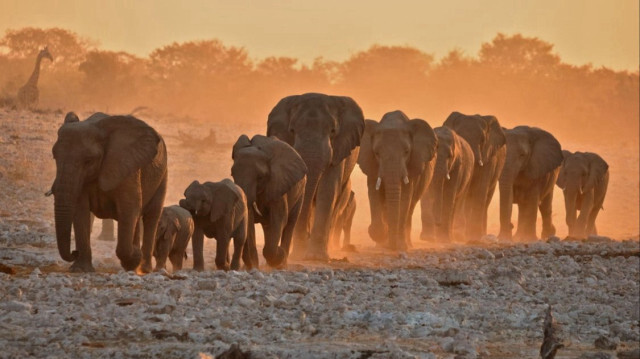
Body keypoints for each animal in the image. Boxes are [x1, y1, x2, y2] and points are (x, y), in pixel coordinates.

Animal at [50, 111, 168, 272]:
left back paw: (144, 268)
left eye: (88, 160)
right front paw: (80, 269)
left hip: (162, 175)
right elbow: (80, 211)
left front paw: (134, 257)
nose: (74, 252)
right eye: (54, 156)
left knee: (151, 217)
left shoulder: (127, 167)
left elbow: (129, 207)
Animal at [231, 134, 308, 268]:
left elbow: (280, 217)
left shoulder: (278, 183)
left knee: (290, 223)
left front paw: (279, 255)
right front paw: (254, 267)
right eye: (232, 174)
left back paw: (282, 264)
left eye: (260, 177)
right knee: (268, 226)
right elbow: (250, 220)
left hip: (301, 192)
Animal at [266, 93, 364, 262]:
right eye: (292, 130)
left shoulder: (339, 150)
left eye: (333, 131)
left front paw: (315, 257)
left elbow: (328, 189)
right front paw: (299, 254)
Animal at [358, 111, 438, 252]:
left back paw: (407, 245)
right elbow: (374, 194)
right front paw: (381, 235)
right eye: (377, 153)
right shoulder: (371, 163)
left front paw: (399, 246)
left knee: (410, 207)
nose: (392, 247)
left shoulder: (411, 165)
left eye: (406, 152)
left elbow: (405, 197)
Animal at [444, 112, 504, 242]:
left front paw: (473, 235)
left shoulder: (489, 156)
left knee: (485, 200)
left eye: (482, 140)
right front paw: (460, 235)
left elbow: (480, 190)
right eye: (460, 136)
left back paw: (480, 234)